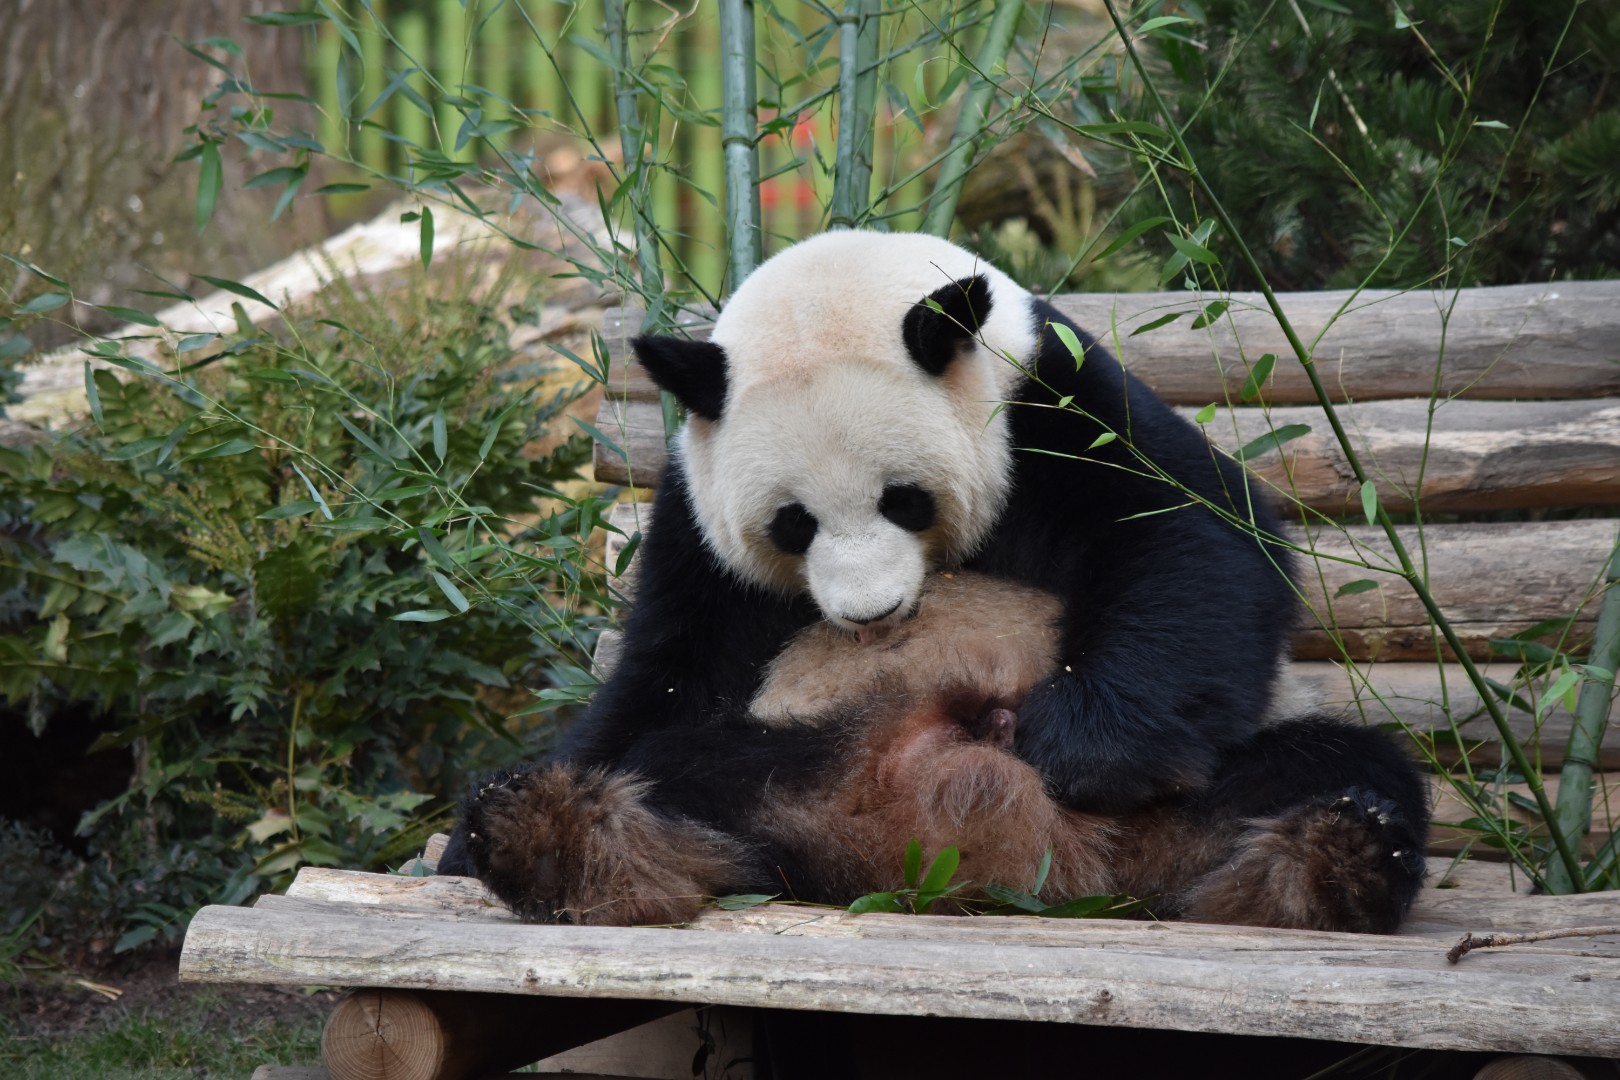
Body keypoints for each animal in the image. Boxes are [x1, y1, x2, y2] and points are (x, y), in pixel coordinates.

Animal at [441, 229, 1429, 930]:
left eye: (904, 500)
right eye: (792, 524)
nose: (873, 613)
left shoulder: (1051, 398)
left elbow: (1196, 533)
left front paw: (1079, 745)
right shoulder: (698, 503)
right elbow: (670, 668)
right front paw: (454, 851)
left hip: (1210, 792)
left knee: (1338, 767)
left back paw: (1338, 863)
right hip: (770, 772)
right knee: (665, 777)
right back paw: (538, 836)